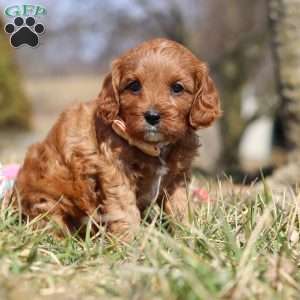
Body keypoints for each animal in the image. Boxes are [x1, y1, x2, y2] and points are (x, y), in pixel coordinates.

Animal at [14, 38, 220, 240]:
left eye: (177, 88)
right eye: (134, 85)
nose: (152, 116)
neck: (154, 147)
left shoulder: (176, 179)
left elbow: (181, 208)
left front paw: (189, 238)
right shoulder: (116, 172)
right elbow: (125, 211)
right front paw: (131, 243)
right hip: (45, 204)